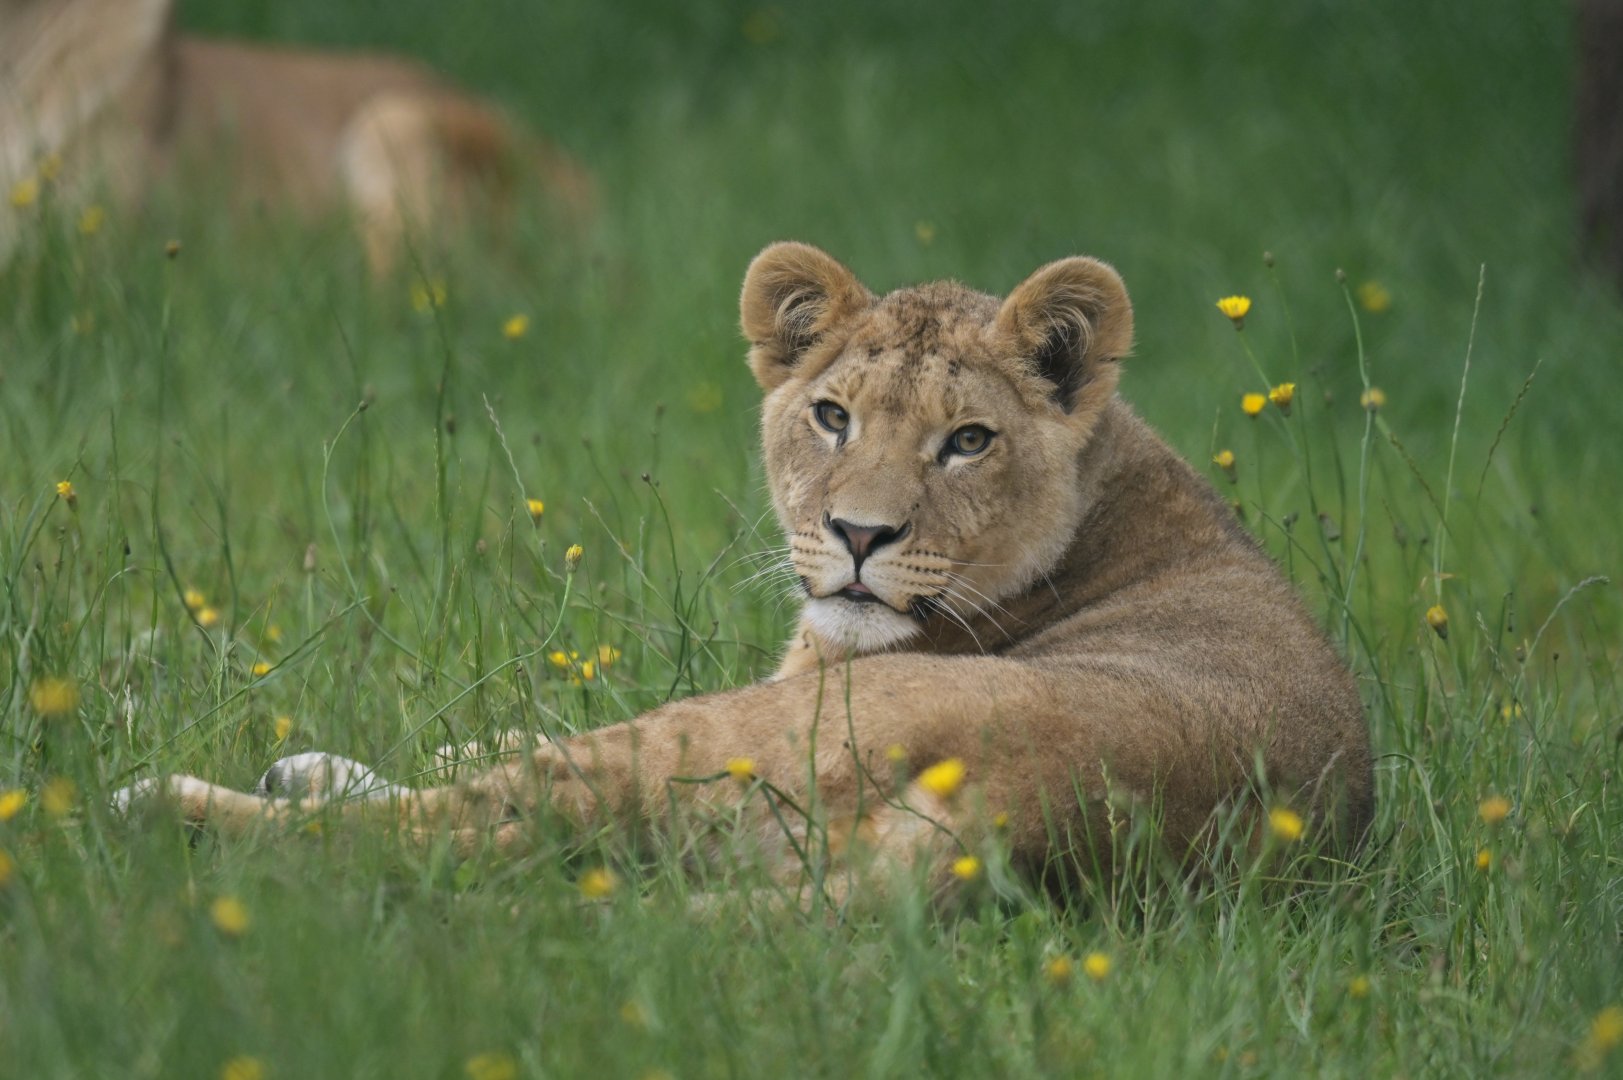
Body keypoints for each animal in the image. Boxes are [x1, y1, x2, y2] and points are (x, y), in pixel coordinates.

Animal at [115, 243, 1374, 905]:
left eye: (968, 440)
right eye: (832, 416)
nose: (860, 536)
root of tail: (1029, 820)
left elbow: (498, 770)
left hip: (724, 739)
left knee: (450, 841)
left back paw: (165, 805)